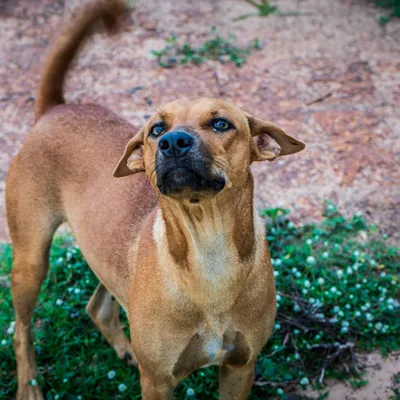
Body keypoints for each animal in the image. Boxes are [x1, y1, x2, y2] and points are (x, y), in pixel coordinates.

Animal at [6, 1, 304, 398]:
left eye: (221, 124)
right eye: (156, 129)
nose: (172, 142)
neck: (209, 253)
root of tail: (56, 109)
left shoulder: (240, 368)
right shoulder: (159, 382)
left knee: (97, 307)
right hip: (30, 259)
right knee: (21, 332)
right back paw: (30, 385)